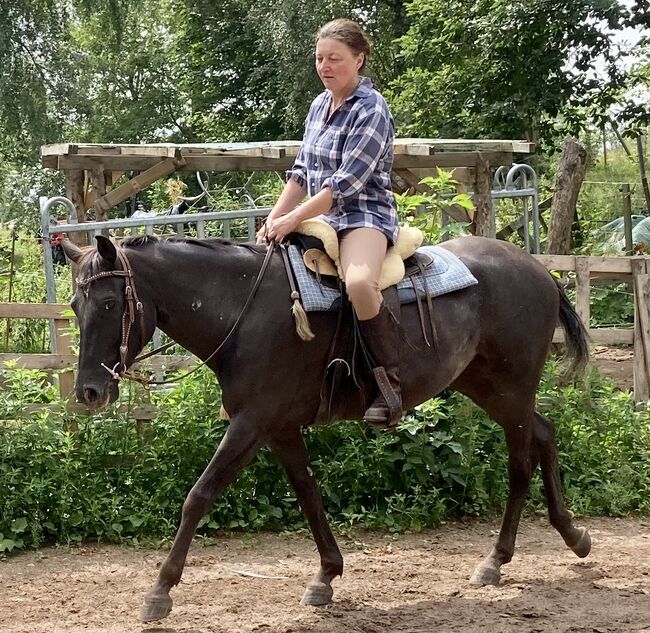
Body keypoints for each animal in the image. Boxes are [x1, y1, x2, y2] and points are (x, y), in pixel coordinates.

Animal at [63, 233, 588, 624]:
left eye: (108, 303)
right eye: (73, 305)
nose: (89, 391)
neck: (242, 309)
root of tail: (537, 268)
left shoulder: (252, 423)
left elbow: (199, 495)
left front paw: (160, 591)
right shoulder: (279, 429)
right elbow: (309, 494)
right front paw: (326, 576)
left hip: (511, 390)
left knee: (521, 461)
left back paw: (497, 559)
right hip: (486, 386)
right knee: (544, 434)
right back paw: (569, 536)